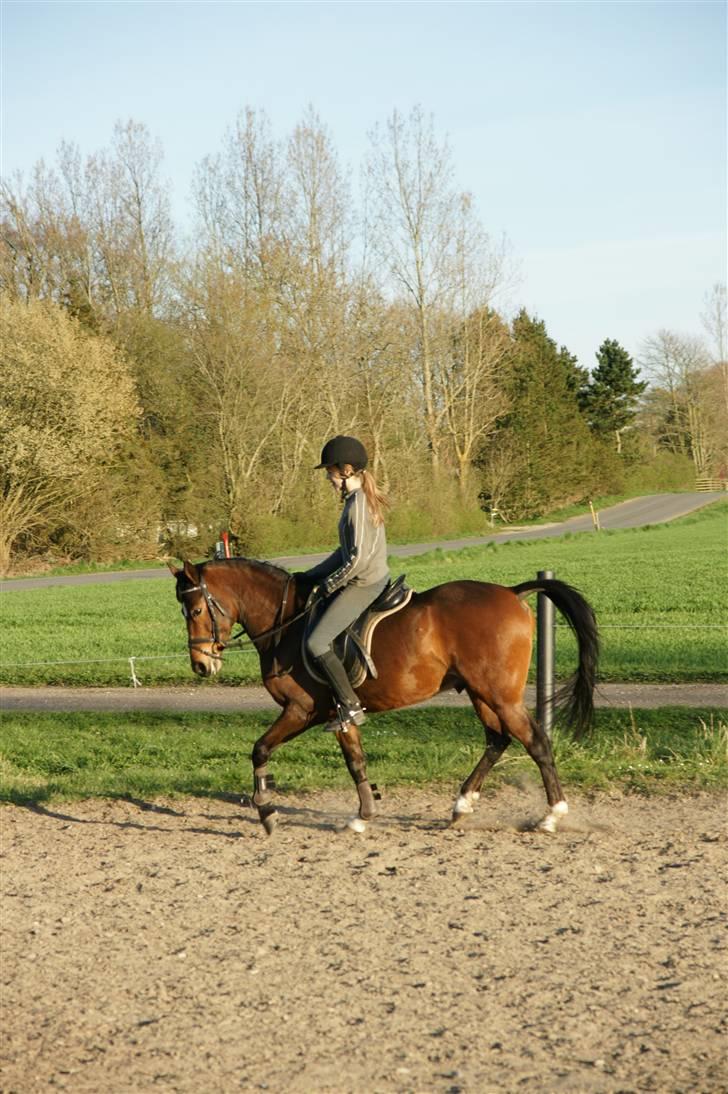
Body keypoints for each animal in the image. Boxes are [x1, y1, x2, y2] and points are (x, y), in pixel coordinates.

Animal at [169, 558, 599, 836]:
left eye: (195, 611)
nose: (201, 665)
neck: (287, 624)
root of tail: (512, 592)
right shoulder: (341, 713)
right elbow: (356, 761)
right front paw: (364, 815)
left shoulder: (301, 710)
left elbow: (259, 750)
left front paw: (267, 812)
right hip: (480, 693)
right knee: (498, 740)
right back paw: (461, 806)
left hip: (500, 695)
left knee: (535, 742)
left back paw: (552, 816)